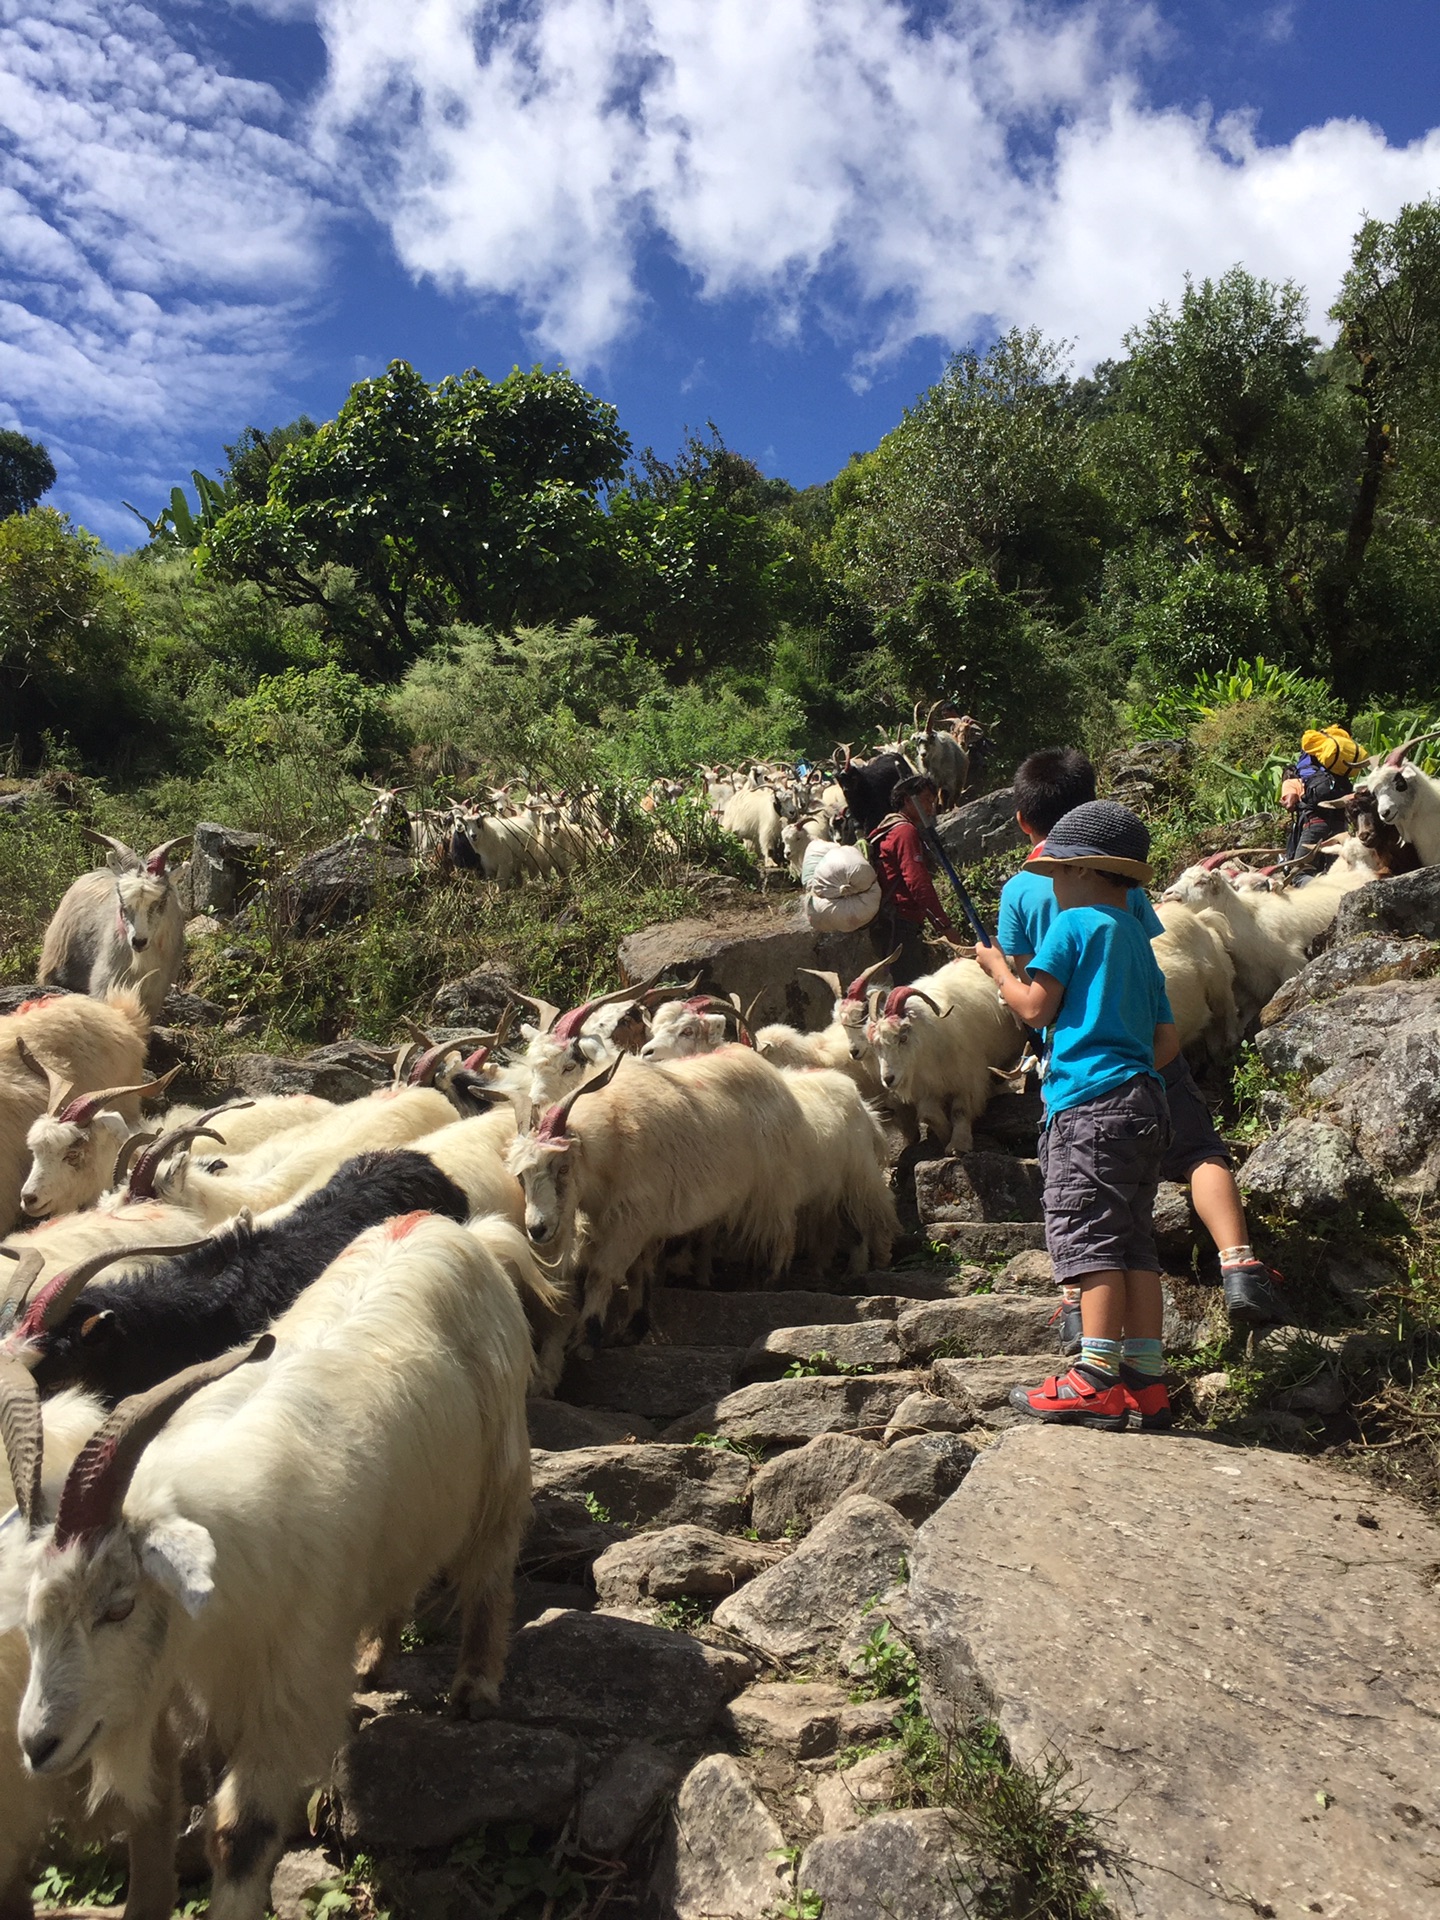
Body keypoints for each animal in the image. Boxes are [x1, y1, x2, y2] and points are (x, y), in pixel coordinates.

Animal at [2, 1213, 537, 1920]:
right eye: (29, 1617)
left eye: (119, 1605)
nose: (37, 1746)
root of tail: (451, 1226)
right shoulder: (210, 1692)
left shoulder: (291, 1686)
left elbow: (241, 1832)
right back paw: (373, 1658)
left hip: (502, 1465)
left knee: (492, 1569)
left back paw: (474, 1686)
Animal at [867, 967, 1029, 1144]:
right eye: (876, 1045)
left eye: (903, 1038)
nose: (888, 1079)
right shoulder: (927, 1089)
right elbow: (930, 1116)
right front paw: (945, 1135)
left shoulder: (968, 1079)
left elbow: (960, 1111)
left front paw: (958, 1144)